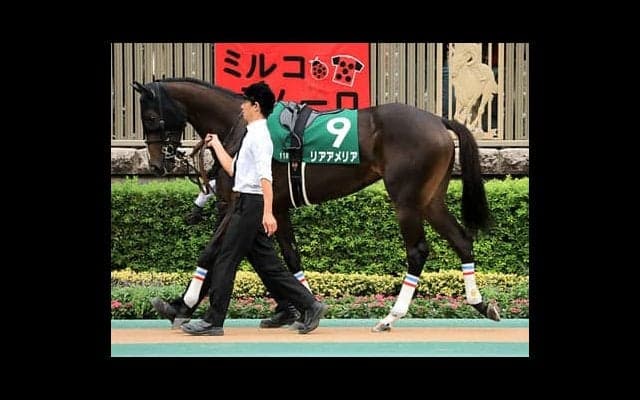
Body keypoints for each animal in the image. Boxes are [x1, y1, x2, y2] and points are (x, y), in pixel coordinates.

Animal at [131, 77, 500, 331]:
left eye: (150, 117)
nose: (156, 164)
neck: (241, 128)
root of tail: (438, 120)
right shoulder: (275, 209)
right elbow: (286, 256)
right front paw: (297, 308)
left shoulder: (237, 203)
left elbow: (212, 251)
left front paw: (182, 305)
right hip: (430, 198)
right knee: (461, 240)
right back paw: (481, 303)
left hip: (406, 199)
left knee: (418, 251)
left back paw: (390, 317)